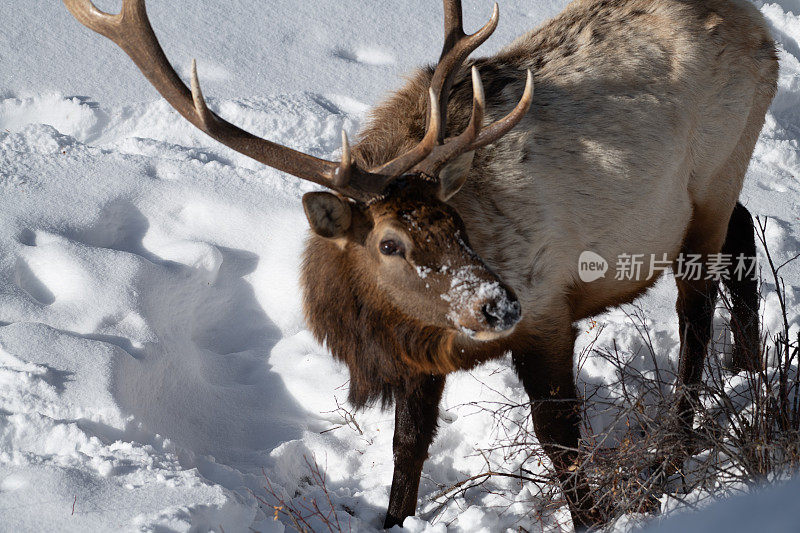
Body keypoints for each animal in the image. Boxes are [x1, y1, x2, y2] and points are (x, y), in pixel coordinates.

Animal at [65, 0, 780, 524]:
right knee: (745, 234)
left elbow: (558, 436)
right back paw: (748, 373)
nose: (498, 302)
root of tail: (759, 24)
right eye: (391, 243)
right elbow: (407, 447)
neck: (377, 333)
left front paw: (595, 514)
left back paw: (678, 446)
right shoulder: (418, 357)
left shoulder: (548, 313)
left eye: (455, 223)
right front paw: (395, 517)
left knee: (696, 300)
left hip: (718, 166)